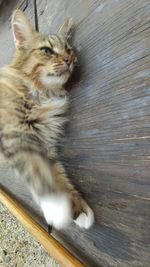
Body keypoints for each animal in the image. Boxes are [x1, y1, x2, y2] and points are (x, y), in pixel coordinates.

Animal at [0, 8, 94, 230]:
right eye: (47, 50)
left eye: (68, 49)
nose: (69, 60)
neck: (42, 94)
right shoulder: (15, 139)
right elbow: (39, 176)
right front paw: (56, 207)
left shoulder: (45, 146)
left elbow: (59, 176)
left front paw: (78, 210)